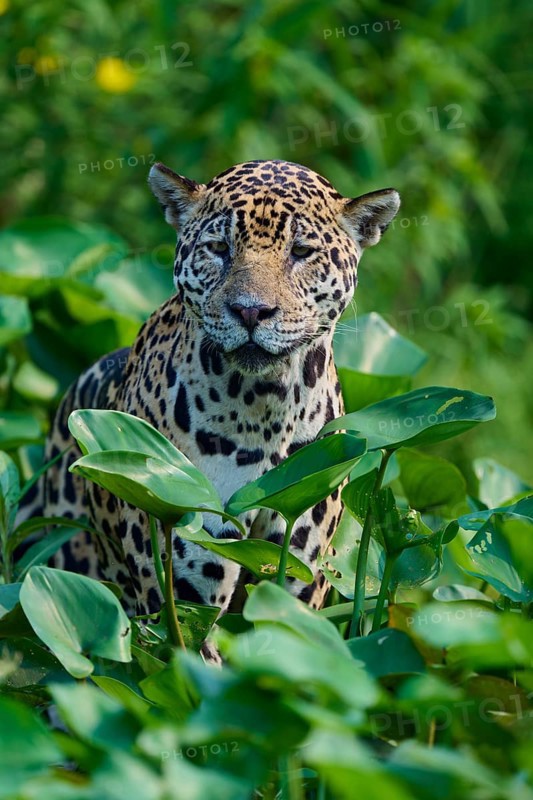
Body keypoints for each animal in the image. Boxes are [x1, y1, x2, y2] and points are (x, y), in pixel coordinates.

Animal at [20, 159, 400, 631]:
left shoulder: (297, 579)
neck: (266, 406)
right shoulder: (183, 596)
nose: (251, 311)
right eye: (218, 248)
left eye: (301, 252)